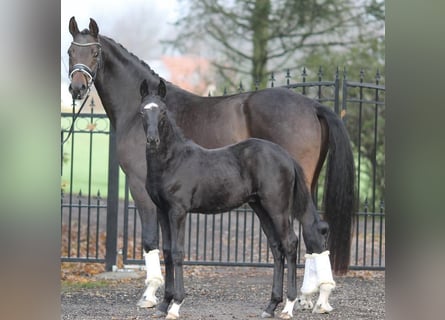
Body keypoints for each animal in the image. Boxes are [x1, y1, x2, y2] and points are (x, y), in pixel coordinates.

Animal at [140, 79, 332, 318]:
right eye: (142, 111)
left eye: (163, 112)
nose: (152, 140)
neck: (173, 161)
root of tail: (285, 156)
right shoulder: (162, 210)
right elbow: (166, 251)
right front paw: (163, 304)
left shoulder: (178, 211)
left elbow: (177, 252)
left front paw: (175, 305)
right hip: (260, 208)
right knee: (276, 247)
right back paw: (271, 306)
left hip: (277, 208)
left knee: (289, 243)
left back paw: (288, 306)